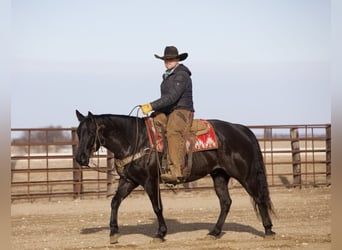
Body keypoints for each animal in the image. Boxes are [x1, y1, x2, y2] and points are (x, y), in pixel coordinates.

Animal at [75, 110, 276, 243]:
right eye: (78, 132)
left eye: (90, 132)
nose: (80, 158)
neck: (135, 140)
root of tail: (242, 130)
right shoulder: (129, 181)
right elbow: (115, 202)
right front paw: (113, 233)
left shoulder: (150, 181)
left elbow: (157, 207)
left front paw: (161, 233)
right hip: (219, 175)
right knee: (226, 202)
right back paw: (214, 232)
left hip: (245, 175)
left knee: (259, 198)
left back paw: (268, 230)